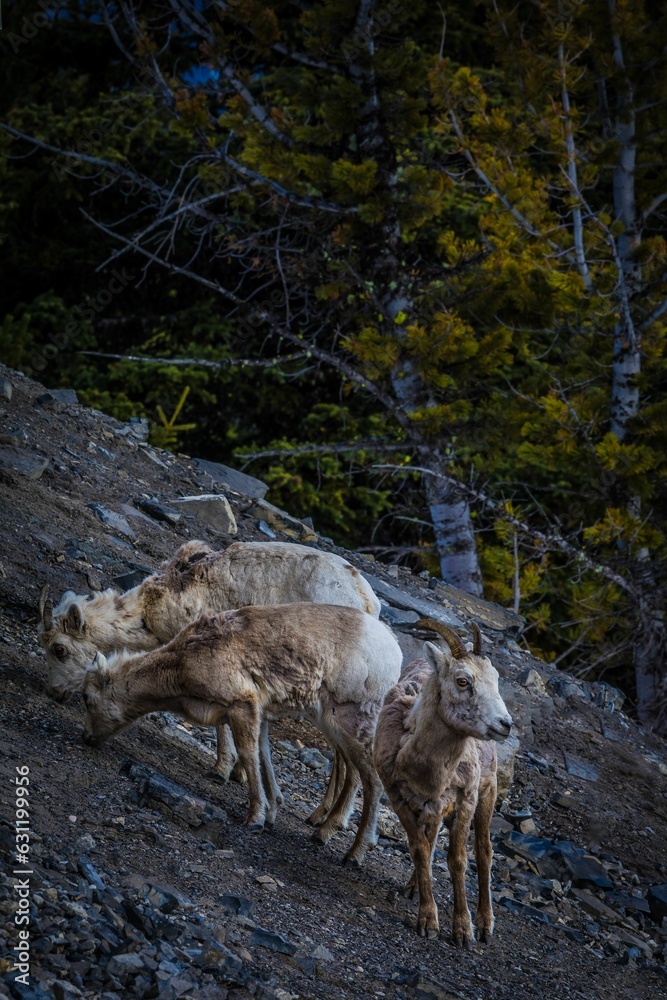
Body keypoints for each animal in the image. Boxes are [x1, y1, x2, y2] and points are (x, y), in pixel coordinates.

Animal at [78, 600, 402, 868]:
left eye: (87, 699)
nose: (87, 739)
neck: (182, 665)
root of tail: (395, 654)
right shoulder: (260, 713)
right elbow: (264, 756)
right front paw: (271, 814)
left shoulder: (241, 705)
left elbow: (248, 756)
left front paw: (254, 818)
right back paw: (324, 832)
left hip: (348, 718)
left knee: (372, 780)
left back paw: (352, 854)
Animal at [376, 616, 512, 944]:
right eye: (463, 681)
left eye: (495, 678)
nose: (505, 724)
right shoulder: (400, 797)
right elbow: (420, 850)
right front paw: (428, 920)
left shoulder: (465, 800)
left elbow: (458, 860)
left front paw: (463, 930)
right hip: (433, 810)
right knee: (430, 842)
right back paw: (413, 888)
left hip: (487, 795)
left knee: (484, 852)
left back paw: (485, 925)